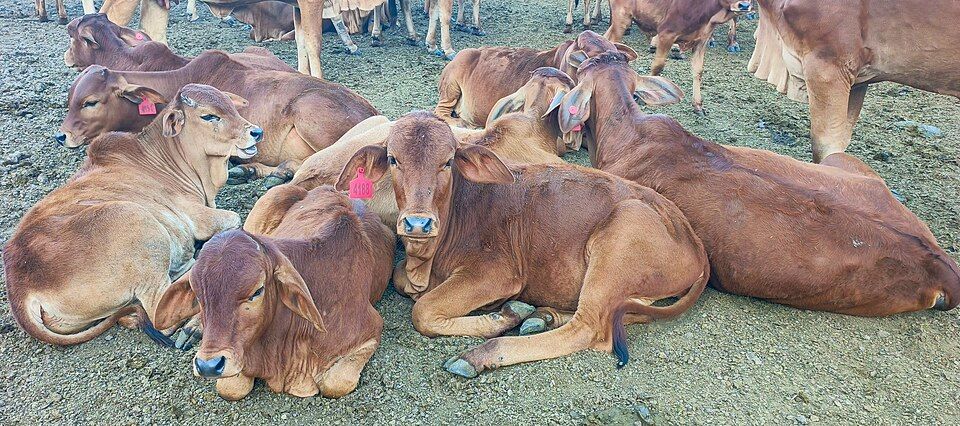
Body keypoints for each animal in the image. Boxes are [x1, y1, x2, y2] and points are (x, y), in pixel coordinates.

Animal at [3, 84, 261, 346]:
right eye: (209, 116)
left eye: (231, 107)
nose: (256, 132)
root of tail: (21, 289)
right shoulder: (197, 216)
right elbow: (234, 218)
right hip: (137, 221)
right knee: (160, 313)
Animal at [153, 185, 395, 400]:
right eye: (198, 295)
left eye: (257, 291)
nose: (208, 366)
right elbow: (231, 388)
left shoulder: (372, 327)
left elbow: (335, 384)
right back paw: (192, 329)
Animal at [333, 111, 709, 377]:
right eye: (393, 159)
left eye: (448, 161)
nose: (417, 223)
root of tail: (693, 238)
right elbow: (401, 280)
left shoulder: (497, 272)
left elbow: (422, 311)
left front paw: (501, 315)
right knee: (622, 314)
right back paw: (542, 316)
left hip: (618, 243)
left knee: (589, 328)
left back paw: (482, 353)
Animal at [604, 0, 753, 114]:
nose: (744, 5)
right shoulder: (666, 34)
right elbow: (658, 66)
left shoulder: (701, 41)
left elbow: (698, 71)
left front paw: (698, 106)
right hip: (622, 19)